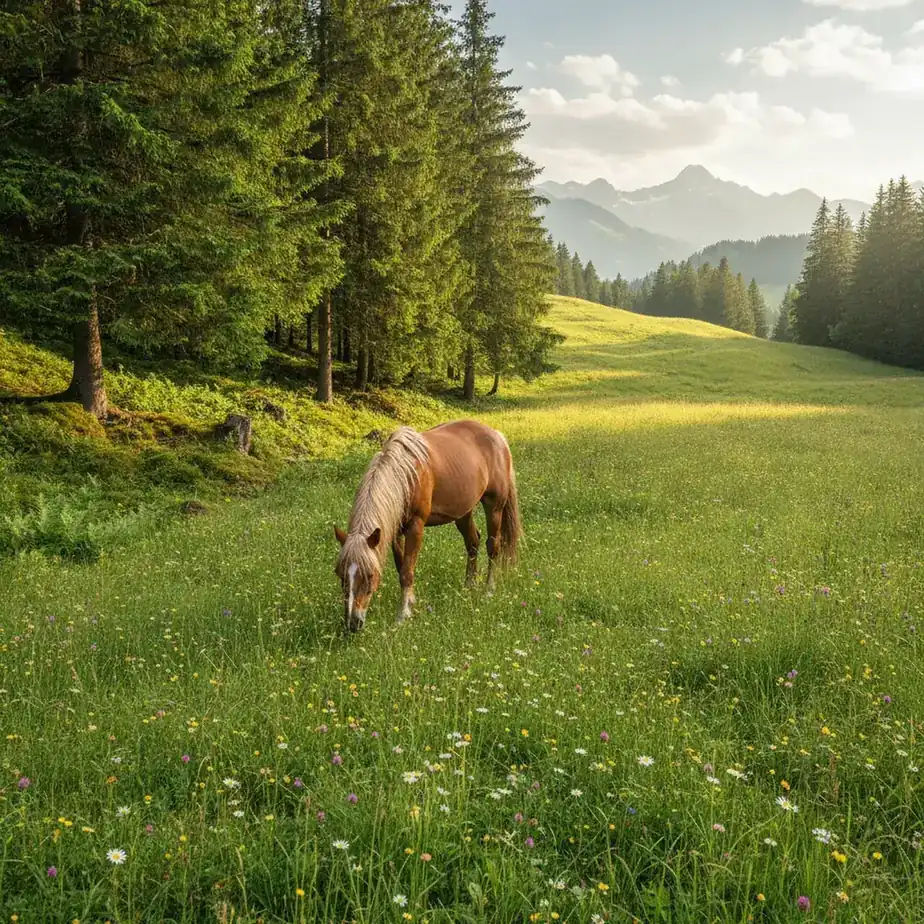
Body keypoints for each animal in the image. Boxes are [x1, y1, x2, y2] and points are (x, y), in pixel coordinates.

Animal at [334, 419, 522, 633]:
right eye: (339, 573)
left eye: (370, 575)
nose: (352, 623)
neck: (406, 474)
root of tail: (498, 436)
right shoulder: (395, 531)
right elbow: (402, 566)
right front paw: (411, 602)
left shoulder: (416, 526)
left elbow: (406, 572)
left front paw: (403, 615)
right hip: (464, 513)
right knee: (473, 543)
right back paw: (469, 586)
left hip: (494, 507)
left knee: (493, 547)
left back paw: (489, 590)